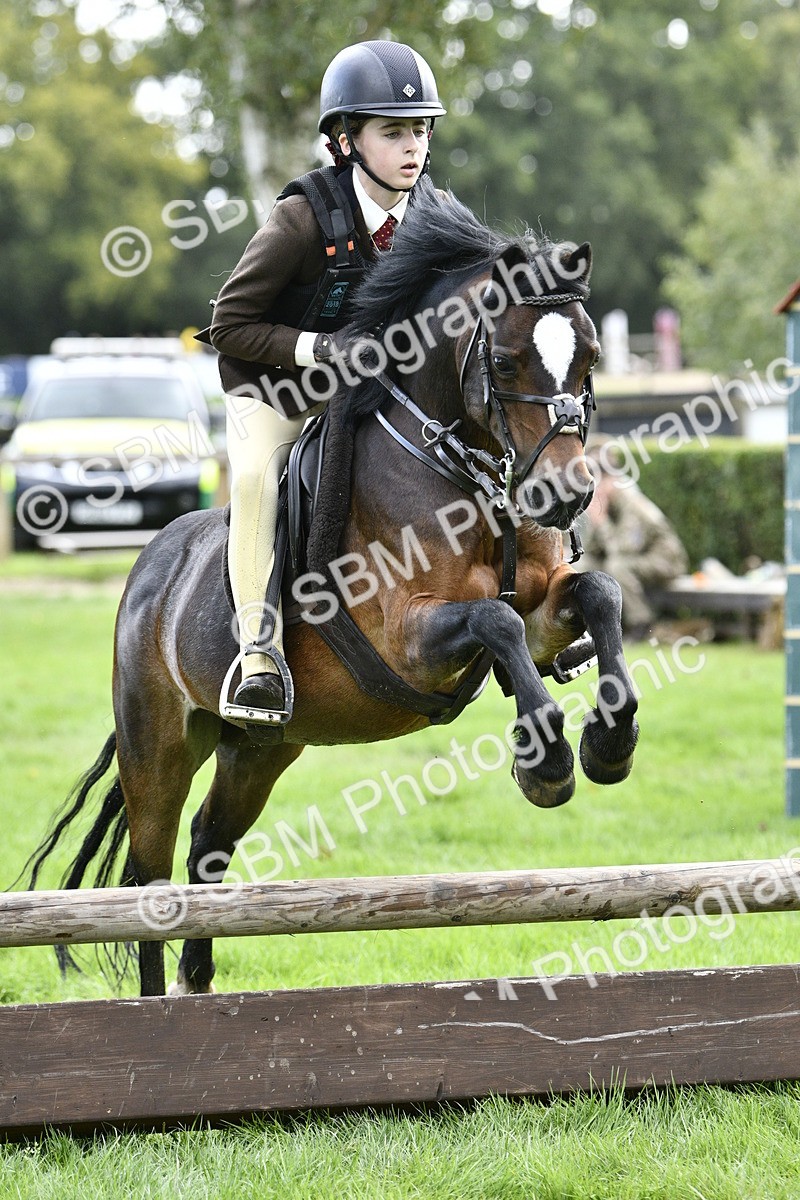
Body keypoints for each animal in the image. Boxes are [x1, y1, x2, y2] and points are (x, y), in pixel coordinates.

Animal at [24, 187, 639, 998]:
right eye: (506, 359)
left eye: (590, 356)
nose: (565, 497)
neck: (461, 472)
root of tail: (149, 569)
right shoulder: (408, 639)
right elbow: (495, 622)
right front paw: (546, 762)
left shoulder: (544, 611)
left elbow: (598, 594)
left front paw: (610, 742)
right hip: (156, 747)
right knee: (148, 880)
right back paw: (156, 1004)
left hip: (260, 749)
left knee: (208, 845)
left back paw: (197, 984)